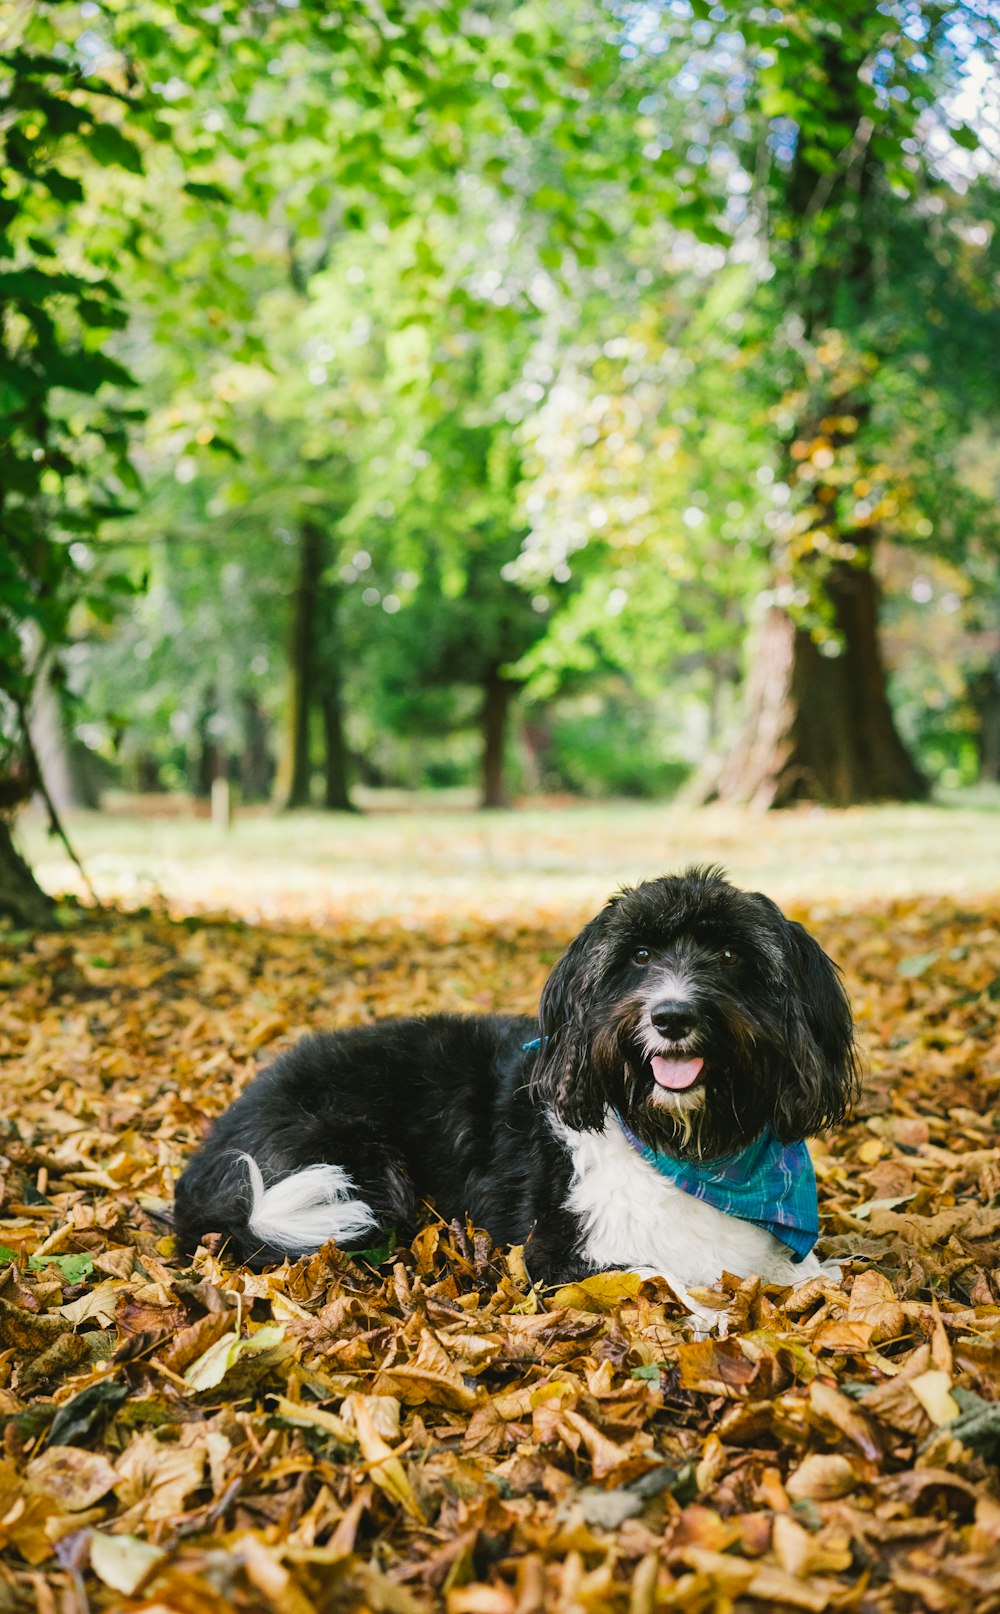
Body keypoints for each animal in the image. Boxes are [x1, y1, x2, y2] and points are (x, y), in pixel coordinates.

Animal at [174, 865, 858, 1304]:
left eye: (733, 956)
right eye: (638, 956)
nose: (672, 1016)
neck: (691, 1147)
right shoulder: (561, 1253)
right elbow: (665, 1276)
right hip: (358, 1168)